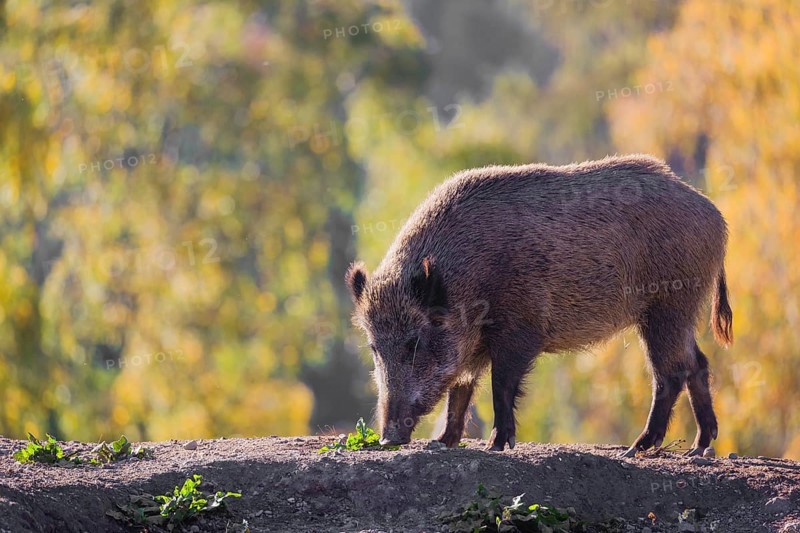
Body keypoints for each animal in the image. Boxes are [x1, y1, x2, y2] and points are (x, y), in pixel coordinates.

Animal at [346, 154, 733, 456]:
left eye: (414, 342)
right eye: (374, 347)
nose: (388, 438)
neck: (467, 279)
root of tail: (716, 217)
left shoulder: (520, 329)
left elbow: (500, 385)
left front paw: (497, 445)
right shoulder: (473, 347)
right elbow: (461, 389)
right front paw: (442, 442)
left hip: (667, 306)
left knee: (671, 373)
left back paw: (637, 448)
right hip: (680, 312)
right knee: (698, 364)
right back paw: (700, 447)